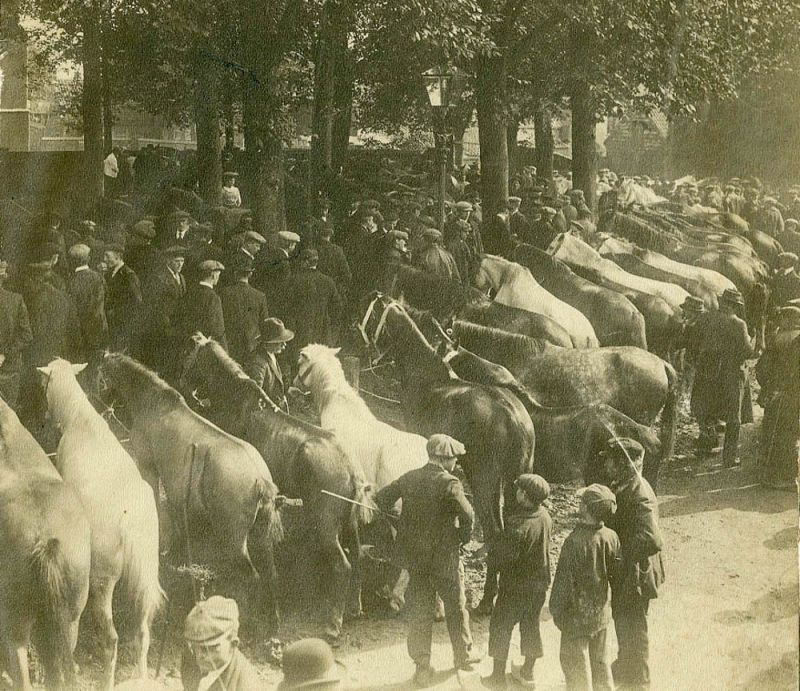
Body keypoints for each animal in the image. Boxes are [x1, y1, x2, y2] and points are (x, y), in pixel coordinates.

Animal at [38, 360, 163, 688]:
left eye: (44, 383)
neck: (78, 417)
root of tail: (131, 522)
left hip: (102, 578)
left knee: (111, 638)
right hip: (145, 571)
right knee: (143, 632)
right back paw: (140, 676)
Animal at [98, 354, 284, 628]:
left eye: (101, 374)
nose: (100, 403)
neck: (154, 404)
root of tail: (259, 479)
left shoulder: (149, 469)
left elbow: (158, 504)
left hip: (235, 539)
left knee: (251, 576)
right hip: (260, 535)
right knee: (270, 571)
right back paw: (272, 617)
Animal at [178, 336, 376, 644]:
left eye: (191, 355)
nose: (182, 382)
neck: (238, 400)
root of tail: (350, 467)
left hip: (326, 524)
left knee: (342, 566)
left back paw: (333, 624)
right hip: (349, 522)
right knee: (357, 556)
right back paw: (355, 608)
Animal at [358, 292, 536, 612]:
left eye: (371, 311)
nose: (361, 344)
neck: (429, 377)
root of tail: (513, 416)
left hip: (484, 480)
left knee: (495, 533)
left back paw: (485, 601)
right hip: (514, 482)